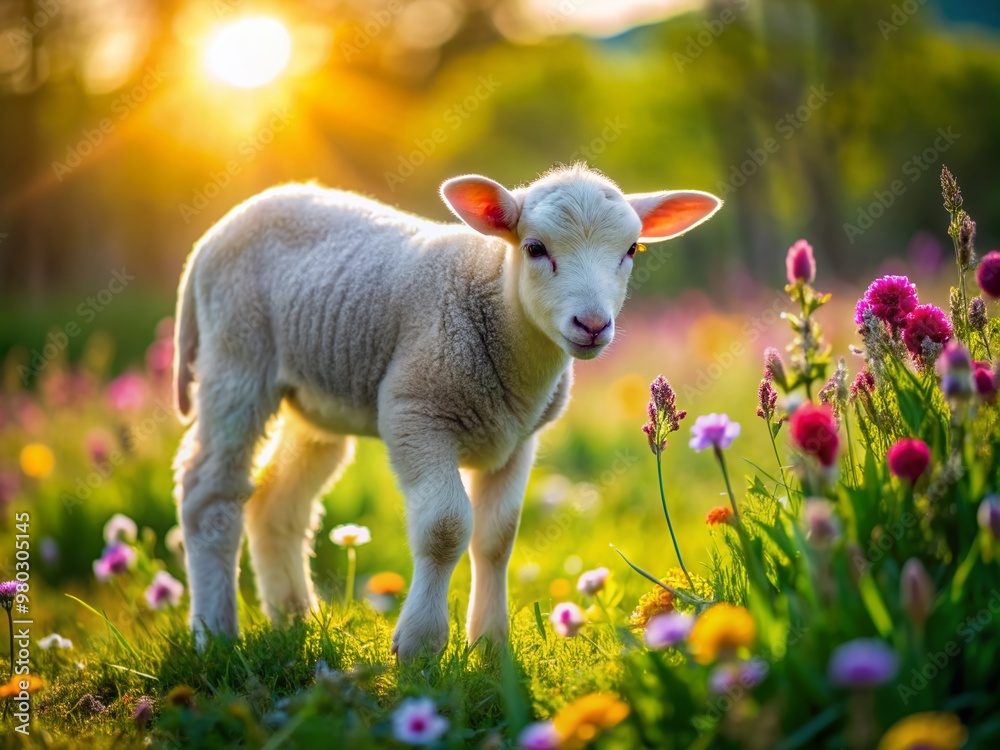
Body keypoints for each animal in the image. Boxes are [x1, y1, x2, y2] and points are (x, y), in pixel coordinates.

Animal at [172, 164, 722, 658]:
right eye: (535, 248)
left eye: (630, 250)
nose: (592, 325)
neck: (495, 300)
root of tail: (211, 237)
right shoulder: (416, 412)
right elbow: (445, 527)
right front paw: (419, 645)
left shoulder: (519, 439)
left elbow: (498, 537)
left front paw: (490, 645)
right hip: (237, 356)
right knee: (209, 495)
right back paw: (214, 633)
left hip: (314, 399)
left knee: (277, 503)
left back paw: (294, 618)